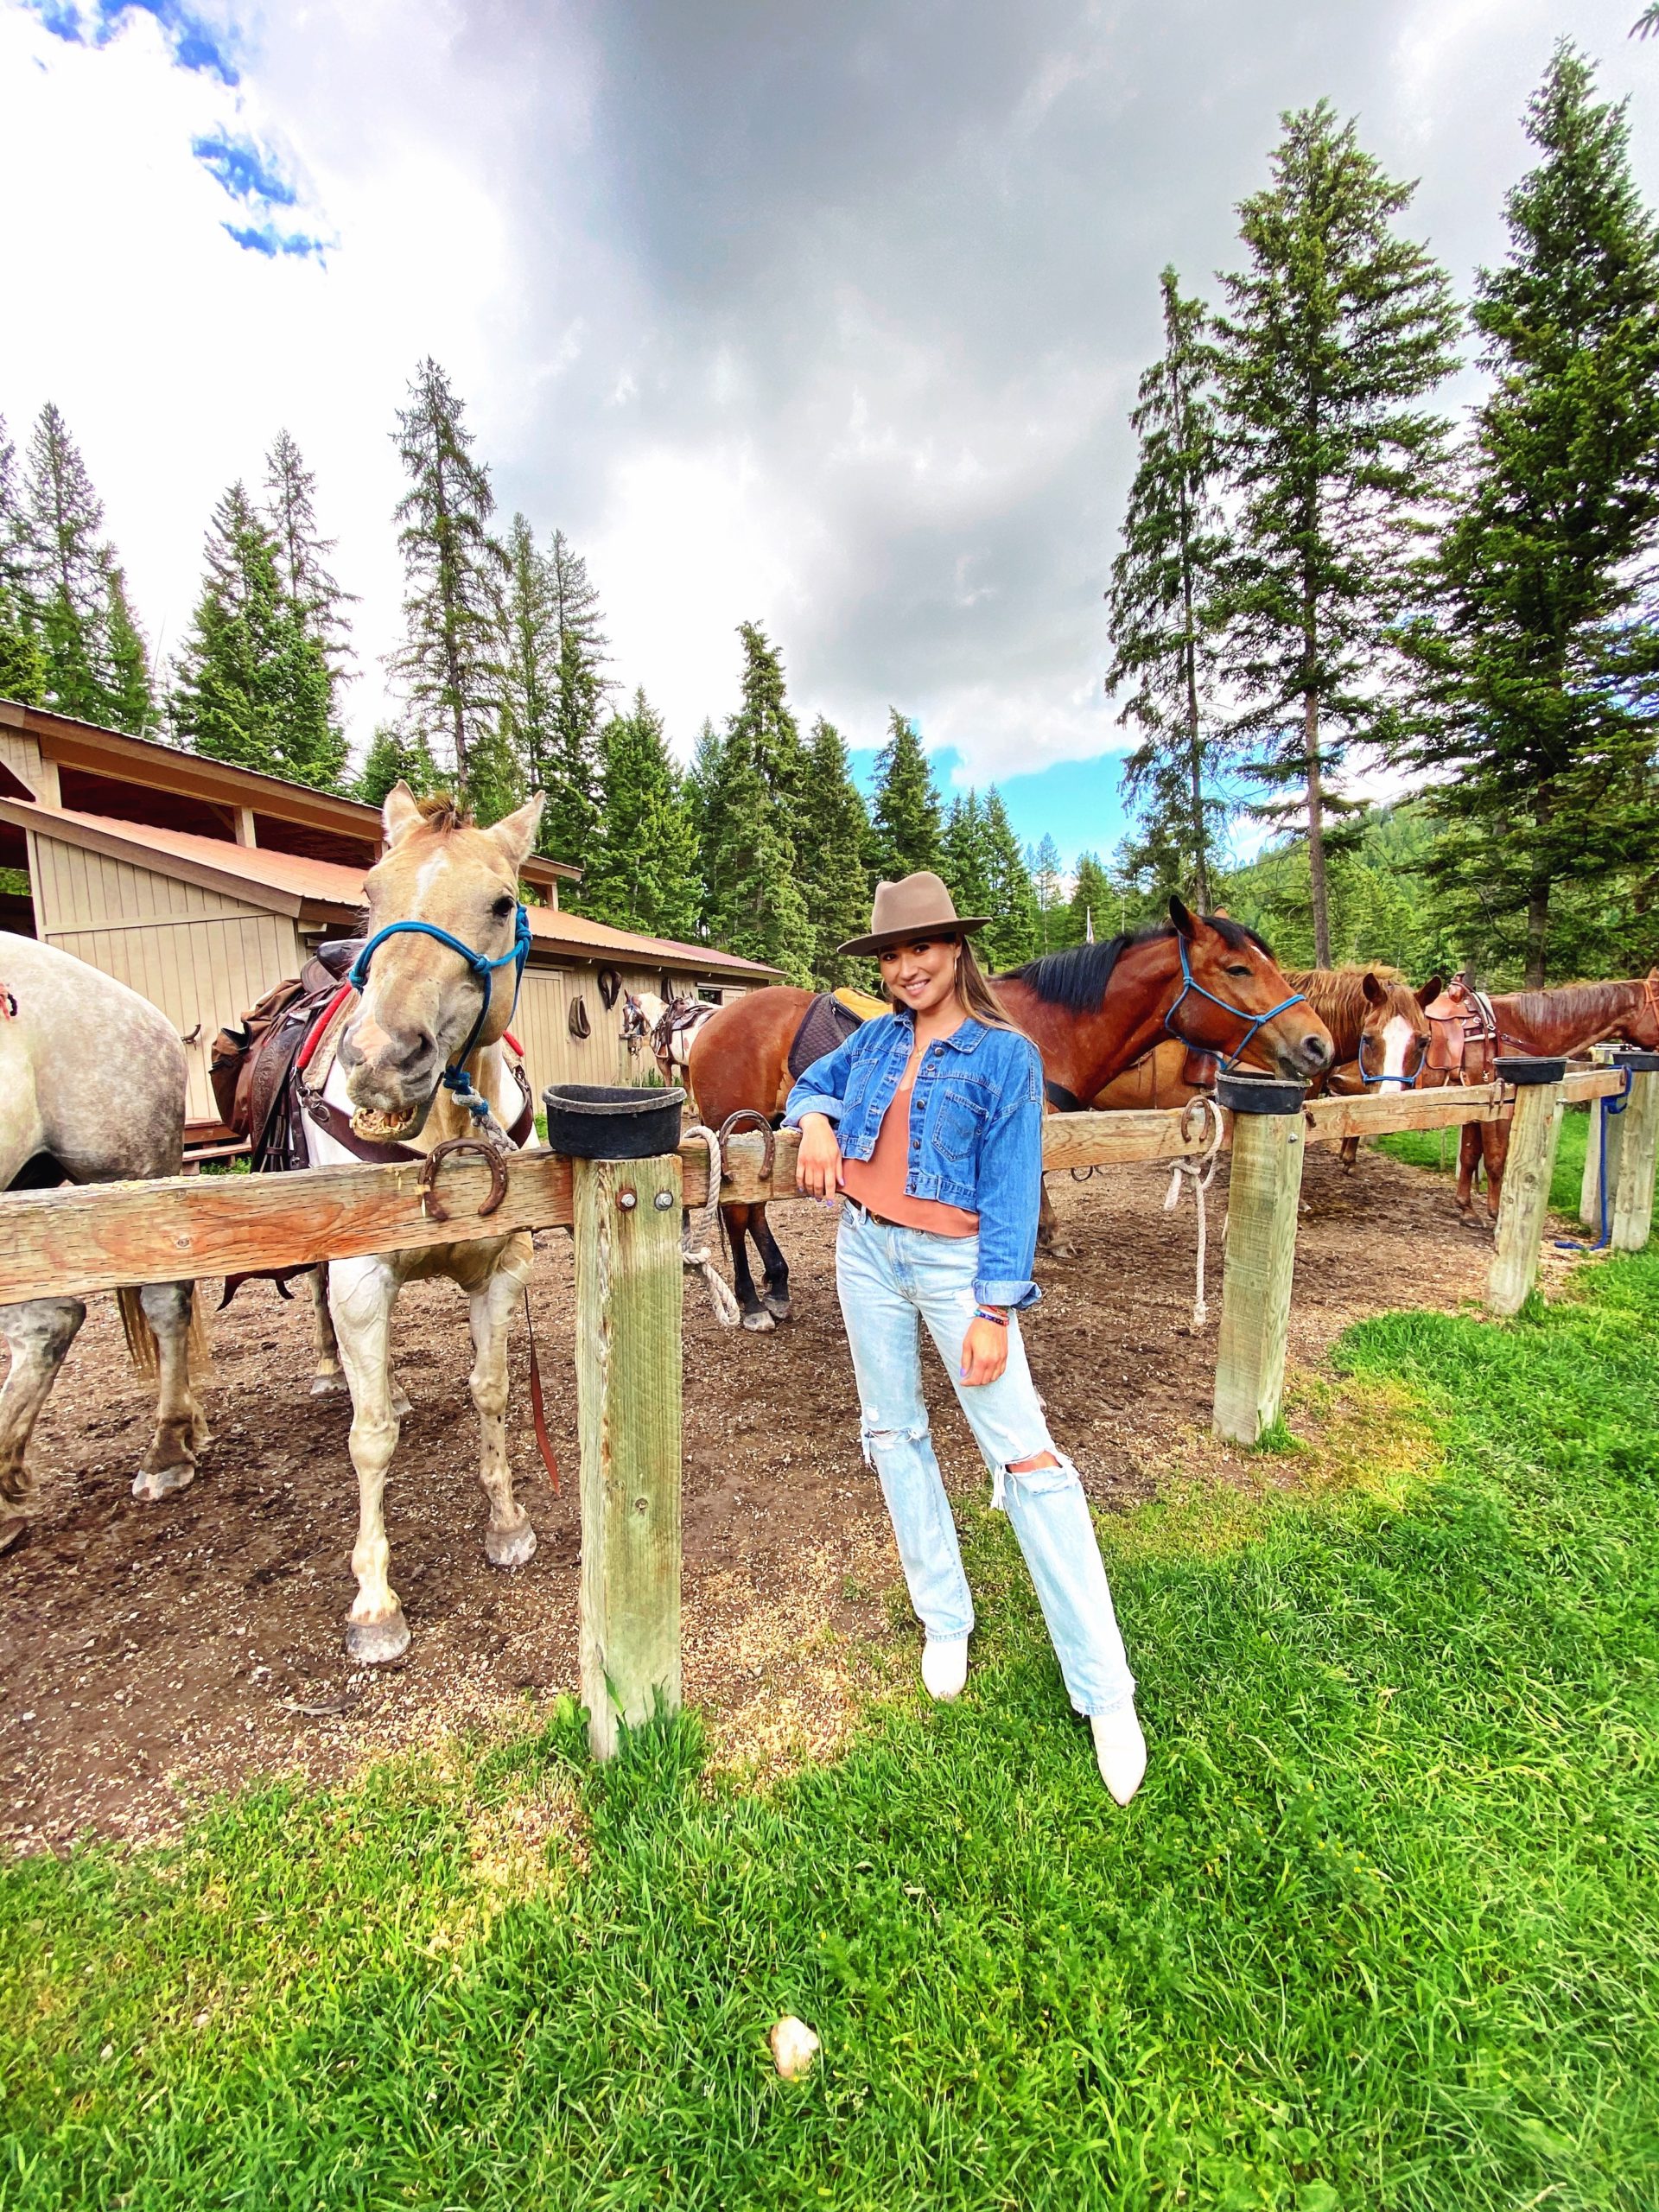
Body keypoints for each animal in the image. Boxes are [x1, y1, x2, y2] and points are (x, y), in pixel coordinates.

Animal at [681, 902, 1336, 1318]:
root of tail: (713, 1021)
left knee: (753, 1214)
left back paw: (777, 1285)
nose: (1318, 1044)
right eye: (1238, 968)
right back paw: (750, 1299)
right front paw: (1046, 1239)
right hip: (737, 1132)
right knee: (738, 1216)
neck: (1048, 1029)